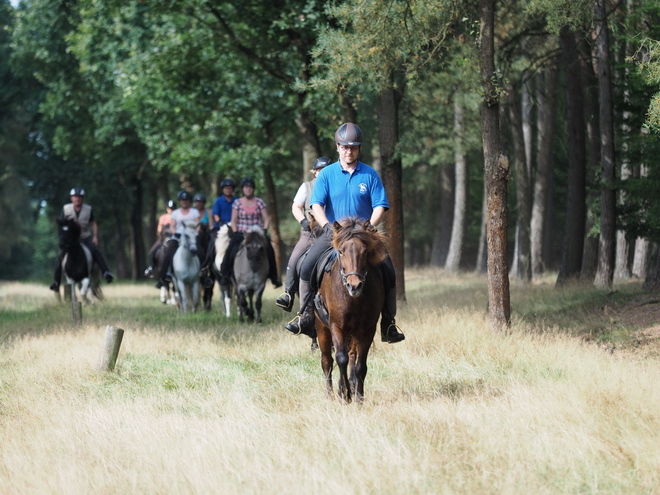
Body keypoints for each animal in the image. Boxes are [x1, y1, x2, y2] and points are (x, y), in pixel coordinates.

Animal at [314, 217, 386, 404]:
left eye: (365, 251)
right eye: (341, 252)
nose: (355, 286)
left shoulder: (368, 329)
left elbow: (360, 365)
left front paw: (358, 396)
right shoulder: (336, 326)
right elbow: (341, 358)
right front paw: (344, 394)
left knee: (352, 355)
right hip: (322, 329)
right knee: (327, 361)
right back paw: (331, 393)